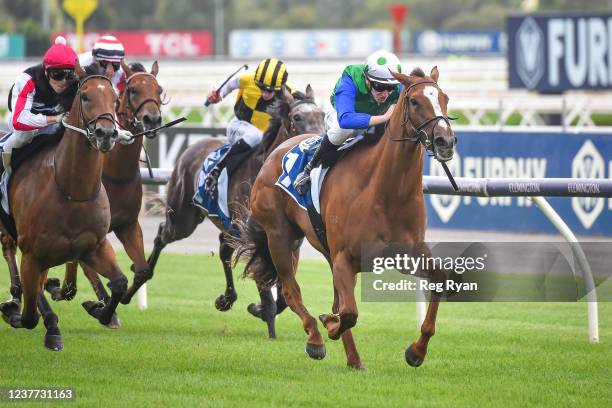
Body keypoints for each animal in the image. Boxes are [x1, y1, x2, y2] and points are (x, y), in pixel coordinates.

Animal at [0, 61, 127, 350]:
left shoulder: (94, 246)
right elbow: (28, 316)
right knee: (10, 252)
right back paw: (18, 296)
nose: (106, 134)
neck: (73, 192)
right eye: (85, 96)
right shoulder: (32, 253)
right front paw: (19, 313)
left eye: (115, 99)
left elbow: (119, 284)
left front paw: (98, 309)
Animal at [44, 60, 163, 326]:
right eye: (133, 90)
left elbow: (143, 271)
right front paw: (100, 306)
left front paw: (120, 300)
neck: (117, 174)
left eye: (159, 90)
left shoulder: (128, 224)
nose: (152, 119)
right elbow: (86, 270)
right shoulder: (91, 233)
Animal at [146, 86, 326, 338]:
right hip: (183, 218)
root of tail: (193, 148)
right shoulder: (258, 235)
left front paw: (261, 309)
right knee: (162, 234)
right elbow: (266, 282)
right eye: (297, 117)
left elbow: (282, 290)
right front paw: (265, 314)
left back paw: (227, 298)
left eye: (323, 115)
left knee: (223, 248)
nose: (320, 141)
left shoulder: (290, 241)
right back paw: (138, 277)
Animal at [232, 65, 456, 368]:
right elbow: (349, 313)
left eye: (444, 98)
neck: (386, 192)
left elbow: (440, 280)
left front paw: (416, 351)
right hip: (280, 236)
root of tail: (275, 152)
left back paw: (353, 359)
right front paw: (328, 326)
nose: (446, 140)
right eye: (415, 101)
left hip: (321, 248)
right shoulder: (344, 257)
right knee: (291, 290)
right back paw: (316, 338)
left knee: (333, 299)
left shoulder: (407, 254)